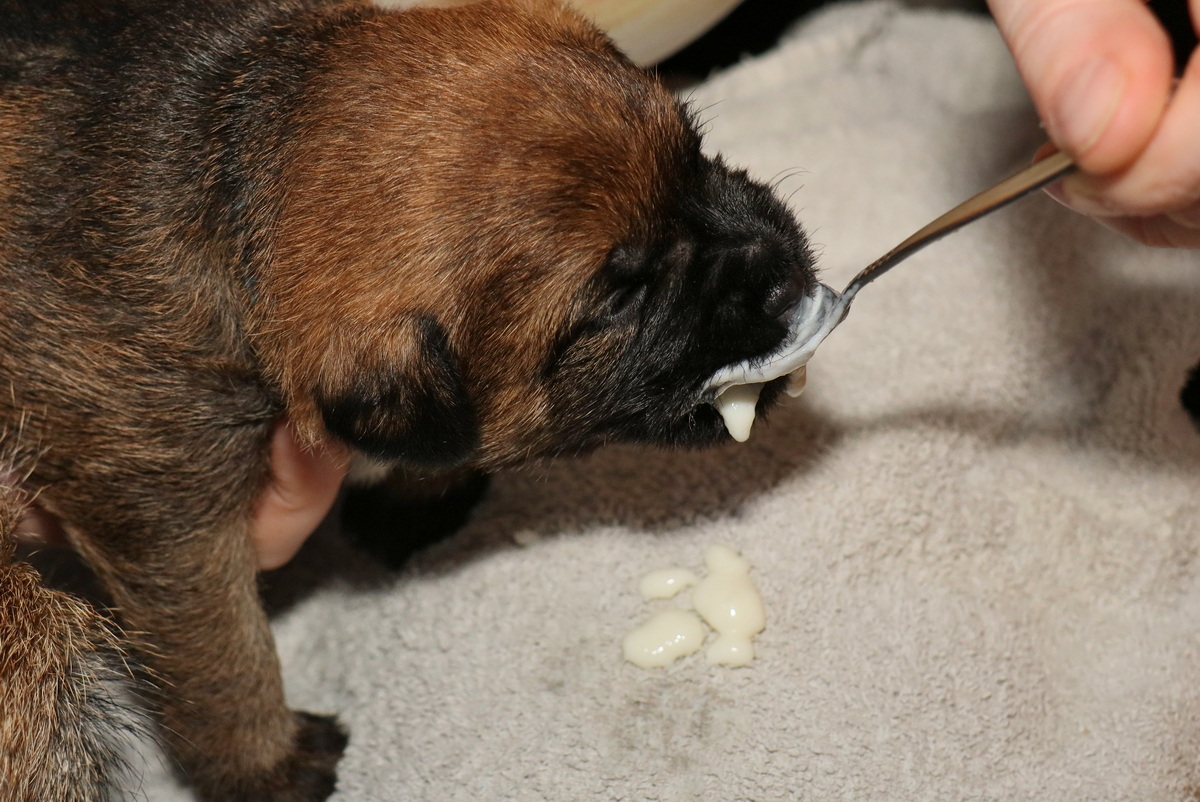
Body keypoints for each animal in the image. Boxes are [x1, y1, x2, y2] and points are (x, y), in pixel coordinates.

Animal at [0, 0, 816, 798]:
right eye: (619, 300)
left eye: (695, 154)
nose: (783, 271)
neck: (233, 199)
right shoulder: (166, 511)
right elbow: (222, 654)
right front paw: (270, 763)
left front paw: (416, 503)